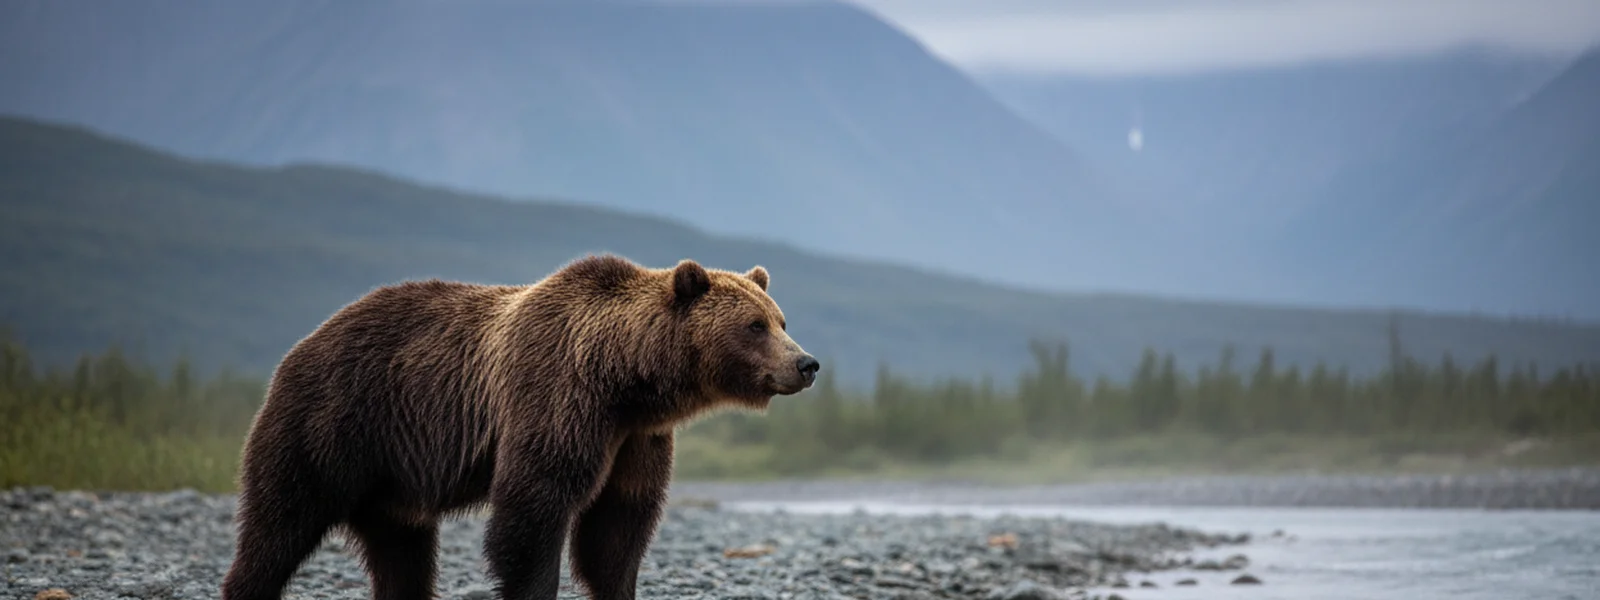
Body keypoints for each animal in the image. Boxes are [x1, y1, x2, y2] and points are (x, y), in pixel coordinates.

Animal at [219, 254, 820, 600]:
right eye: (754, 325)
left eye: (781, 319)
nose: (806, 363)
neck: (626, 378)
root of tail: (306, 342)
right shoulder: (556, 397)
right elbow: (533, 512)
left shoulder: (635, 440)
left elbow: (617, 529)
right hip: (332, 423)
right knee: (281, 520)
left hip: (394, 484)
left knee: (403, 555)